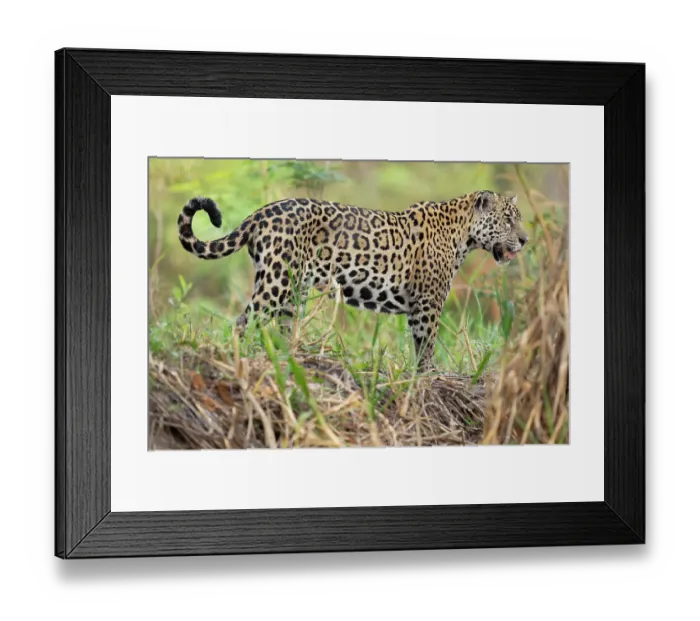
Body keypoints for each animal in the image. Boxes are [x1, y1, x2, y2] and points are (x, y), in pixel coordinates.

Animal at [177, 190, 528, 371]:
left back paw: (289, 358)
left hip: (292, 290)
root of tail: (260, 213)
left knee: (281, 327)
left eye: (518, 219)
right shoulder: (427, 304)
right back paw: (236, 359)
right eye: (507, 220)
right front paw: (430, 378)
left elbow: (420, 346)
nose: (525, 240)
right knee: (242, 322)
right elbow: (427, 345)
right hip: (276, 282)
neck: (463, 234)